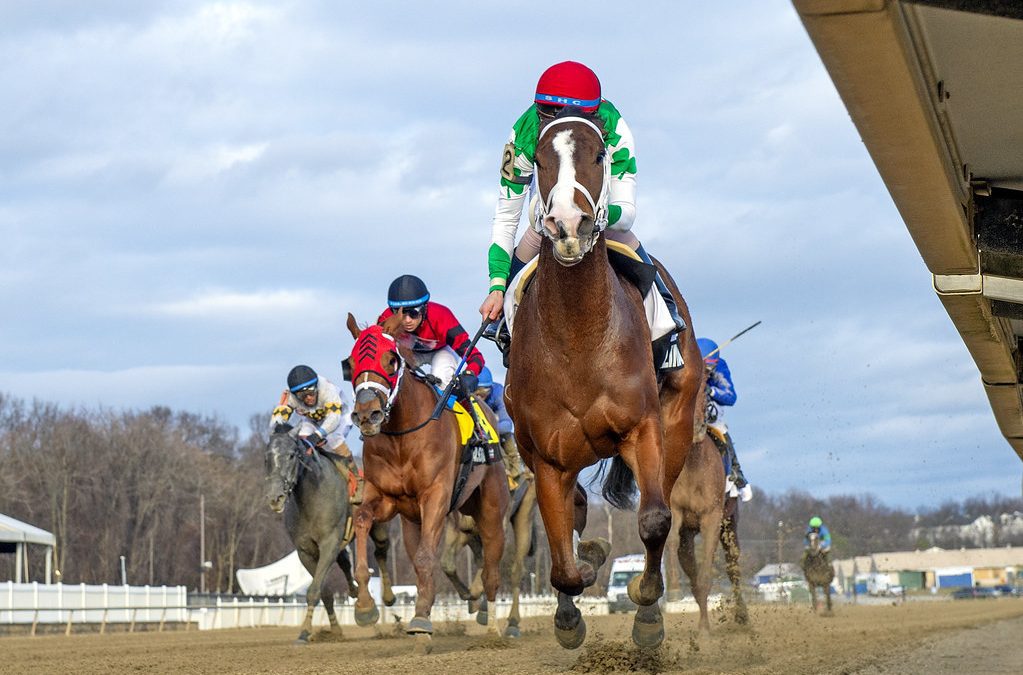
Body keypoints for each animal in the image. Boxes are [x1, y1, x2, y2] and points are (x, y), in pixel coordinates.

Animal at [265, 427, 396, 642]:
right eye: (266, 458)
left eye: (291, 455)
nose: (275, 498)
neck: (310, 498)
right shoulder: (305, 551)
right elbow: (323, 591)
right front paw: (335, 630)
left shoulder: (329, 543)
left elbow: (313, 590)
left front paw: (304, 631)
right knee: (345, 561)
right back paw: (354, 591)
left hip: (379, 525)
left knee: (381, 550)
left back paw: (388, 597)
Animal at [345, 312, 509, 654]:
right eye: (350, 364)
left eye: (391, 360)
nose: (367, 415)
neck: (402, 437)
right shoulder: (386, 498)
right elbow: (363, 519)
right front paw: (366, 605)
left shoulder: (435, 496)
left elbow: (424, 558)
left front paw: (421, 620)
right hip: (413, 521)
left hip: (490, 510)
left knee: (490, 568)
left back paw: (492, 626)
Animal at [443, 476, 544, 634]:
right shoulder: (459, 528)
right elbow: (447, 563)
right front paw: (471, 596)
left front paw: (476, 597)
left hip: (525, 512)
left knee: (517, 569)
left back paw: (512, 623)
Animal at [507, 105, 707, 650]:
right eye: (537, 159)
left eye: (600, 154)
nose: (567, 224)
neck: (579, 334)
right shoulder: (547, 456)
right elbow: (560, 556)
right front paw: (569, 613)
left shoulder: (643, 427)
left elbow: (655, 520)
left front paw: (647, 610)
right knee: (573, 513)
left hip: (676, 425)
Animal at [666, 431, 748, 634]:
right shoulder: (675, 510)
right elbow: (671, 541)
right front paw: (673, 589)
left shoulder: (712, 517)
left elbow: (705, 576)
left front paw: (704, 629)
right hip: (688, 535)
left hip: (730, 525)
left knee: (733, 567)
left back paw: (741, 615)